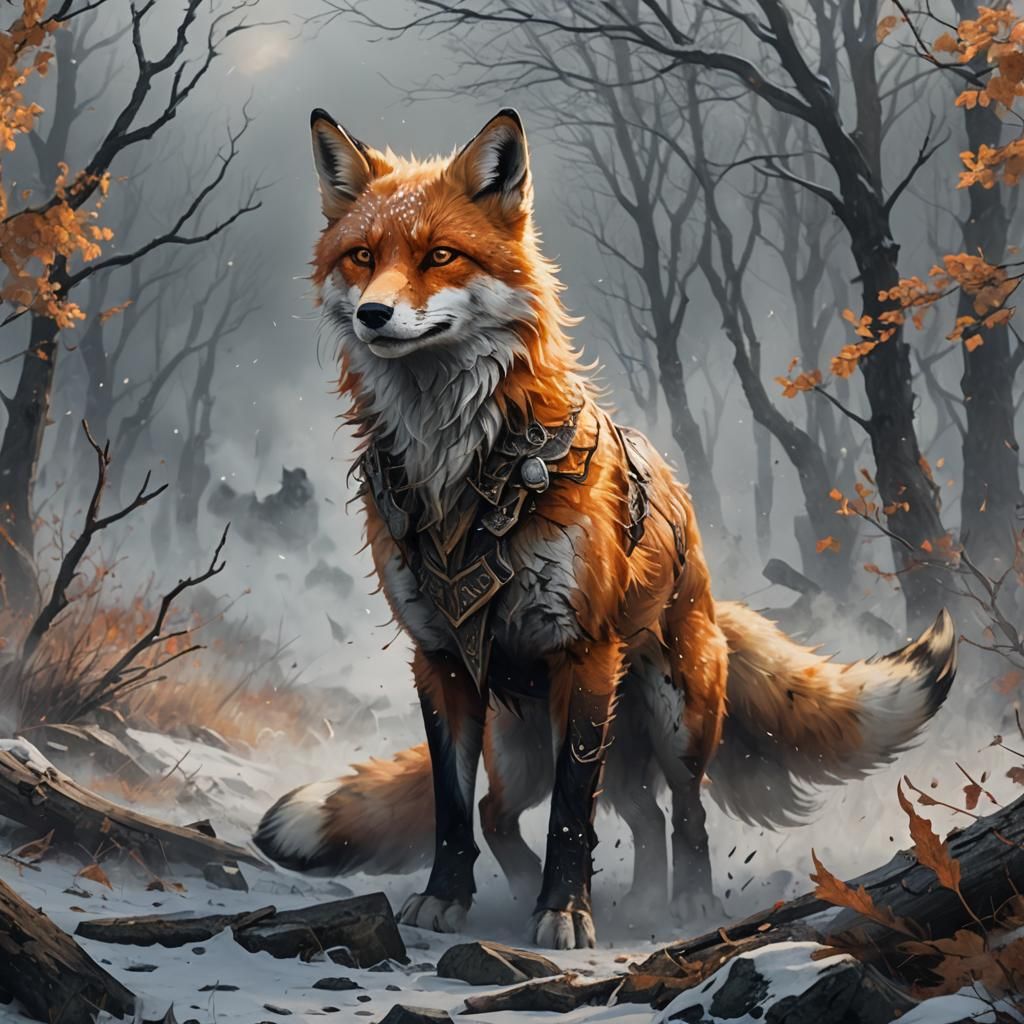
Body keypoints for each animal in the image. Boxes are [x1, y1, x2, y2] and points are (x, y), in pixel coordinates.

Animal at [254, 108, 957, 950]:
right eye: (362, 258)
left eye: (439, 256)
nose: (373, 315)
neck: (461, 478)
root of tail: (708, 586)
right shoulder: (440, 660)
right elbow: (455, 810)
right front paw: (449, 899)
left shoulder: (582, 651)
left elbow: (571, 817)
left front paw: (564, 912)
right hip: (520, 745)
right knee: (537, 814)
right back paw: (596, 895)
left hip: (671, 715)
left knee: (681, 813)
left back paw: (681, 906)